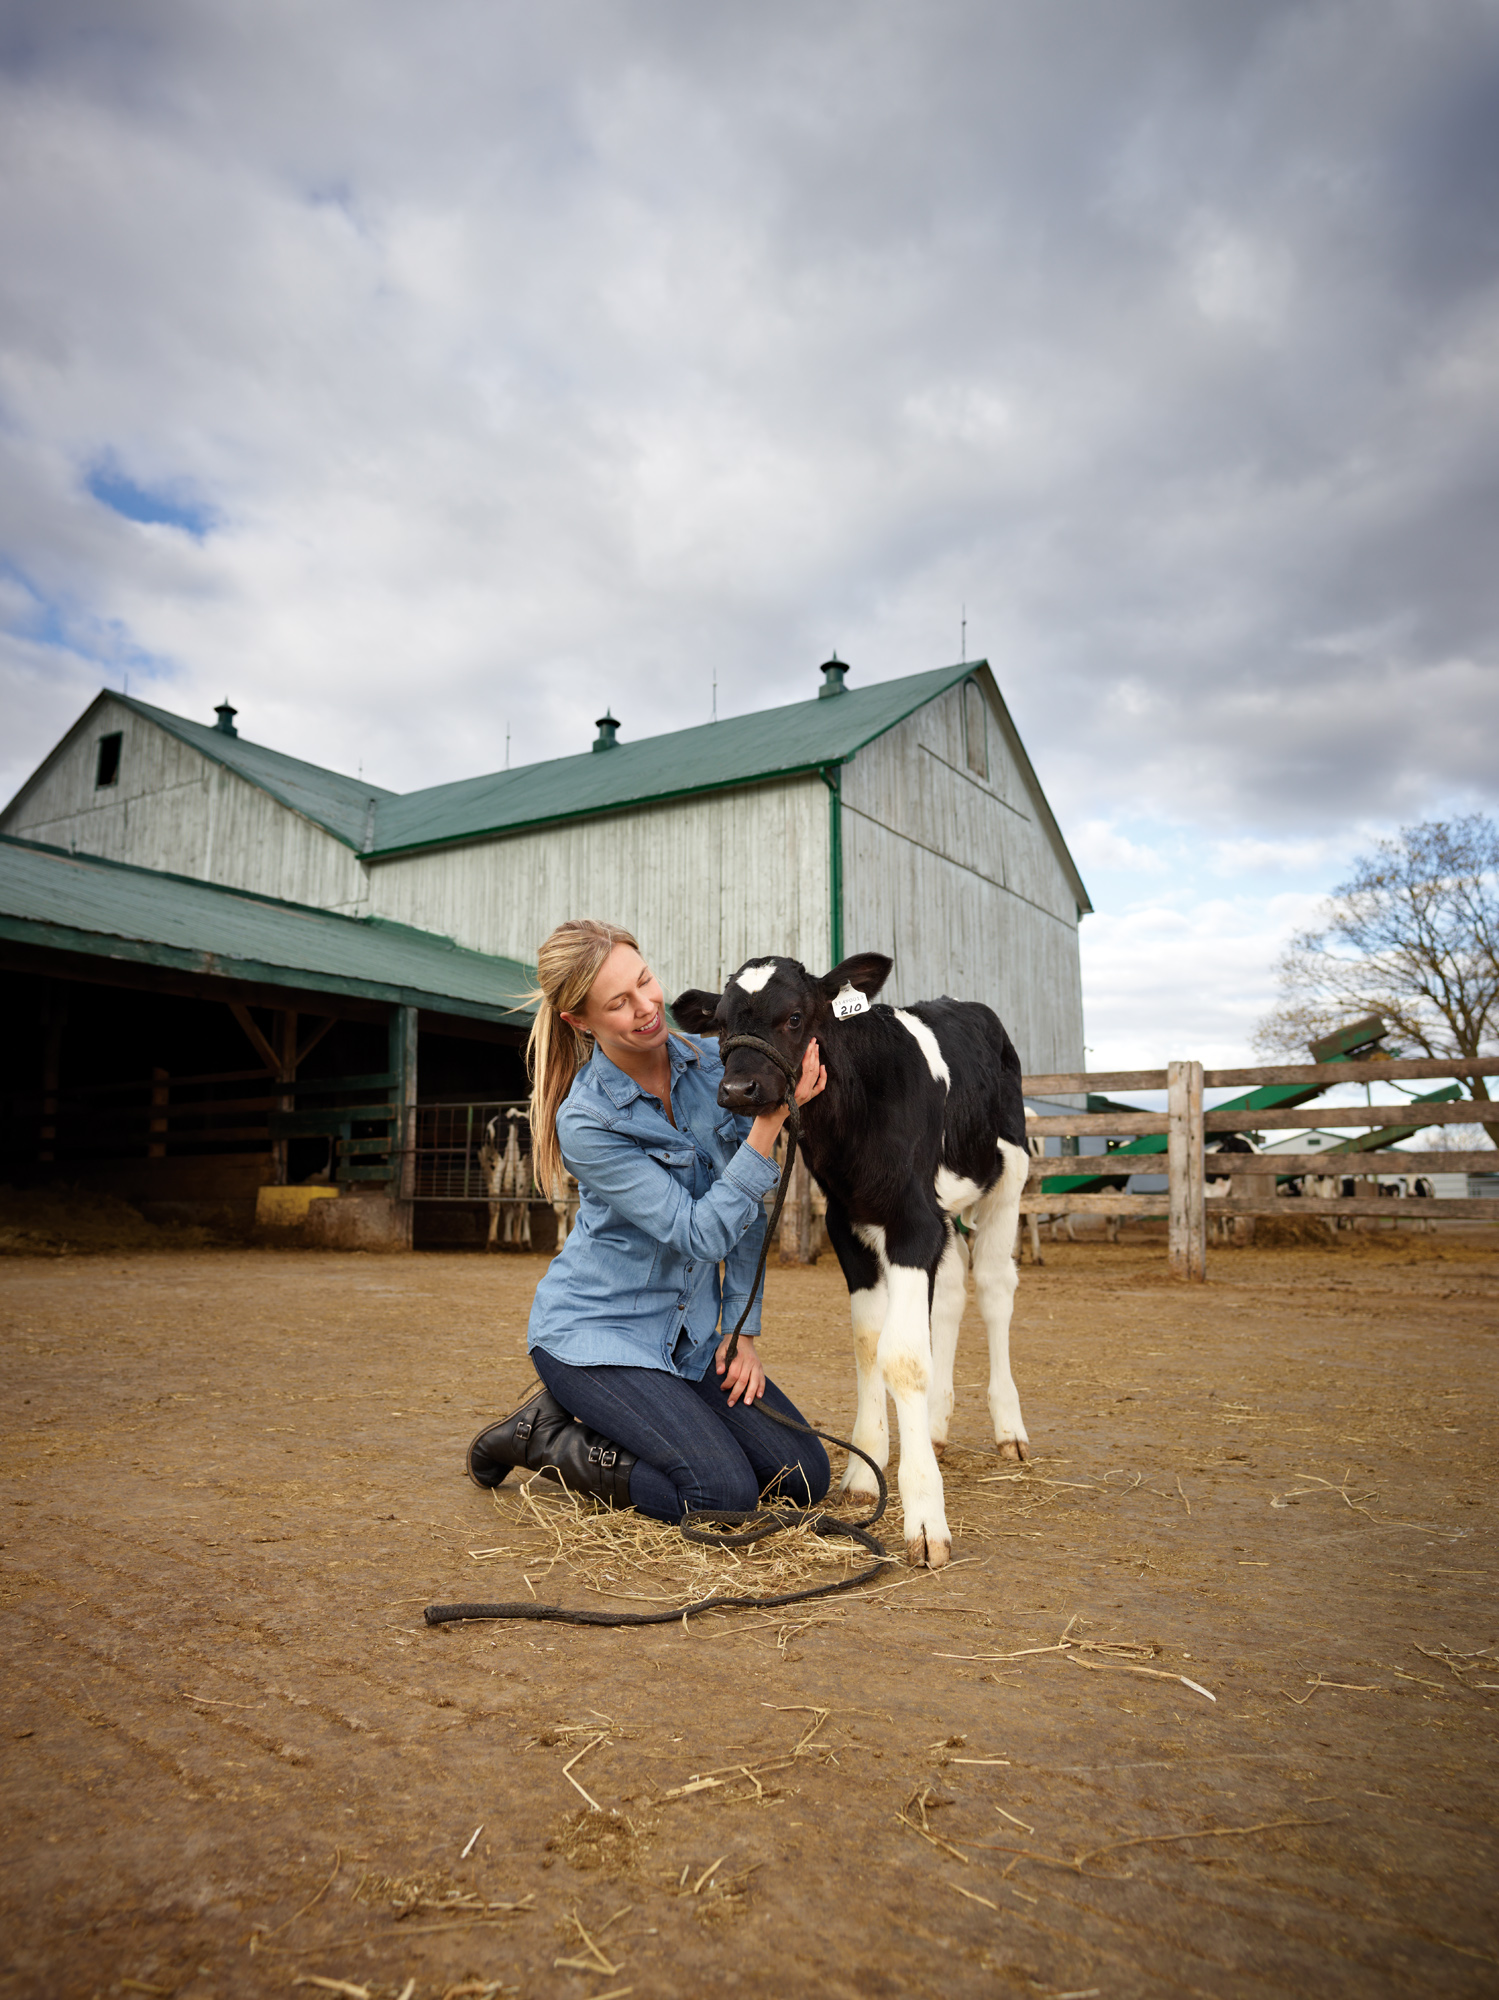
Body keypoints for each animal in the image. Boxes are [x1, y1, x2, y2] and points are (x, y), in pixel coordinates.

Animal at [679, 944, 1031, 1568]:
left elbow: (905, 1358)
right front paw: (867, 1471)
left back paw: (1008, 1428)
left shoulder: (912, 1222)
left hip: (1007, 1176)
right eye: (719, 1022)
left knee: (993, 1288)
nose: (739, 1089)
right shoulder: (847, 1224)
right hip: (945, 1212)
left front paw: (924, 1517)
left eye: (795, 1017)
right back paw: (935, 1426)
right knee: (953, 1295)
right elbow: (870, 1341)